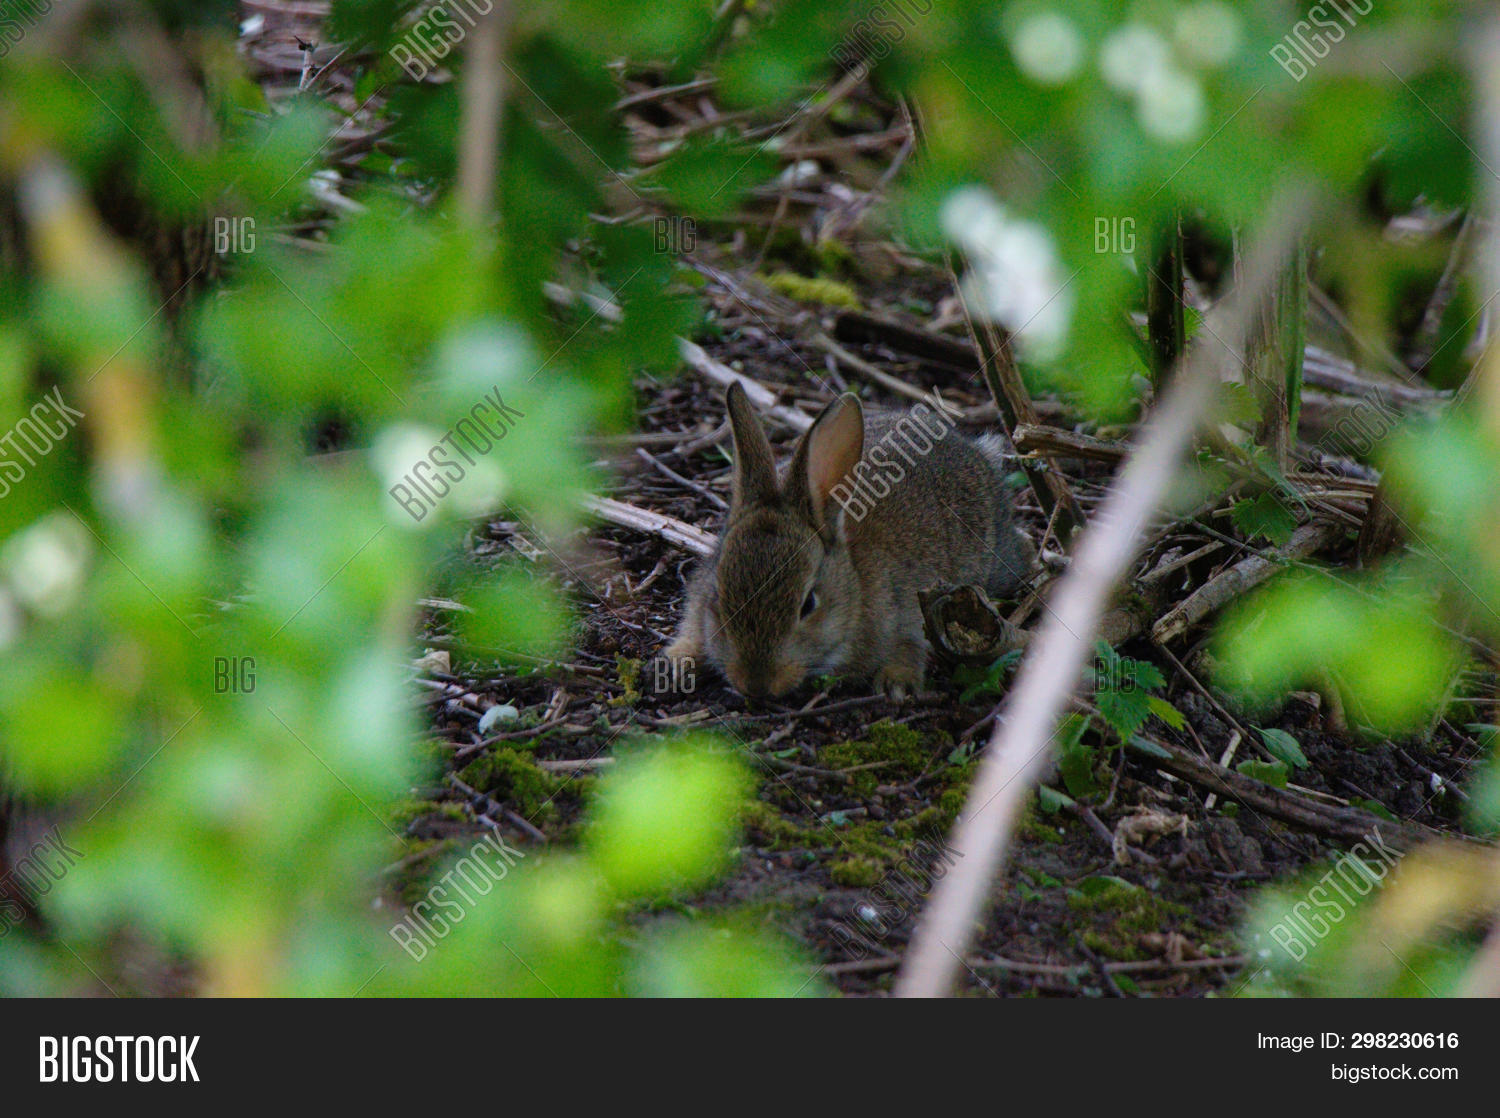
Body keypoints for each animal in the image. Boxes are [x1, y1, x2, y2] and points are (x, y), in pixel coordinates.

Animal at [663, 382, 1031, 699]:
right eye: (718, 598)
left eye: (808, 604)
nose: (755, 684)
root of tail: (975, 451)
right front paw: (676, 662)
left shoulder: (915, 609)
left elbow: (912, 645)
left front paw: (897, 683)